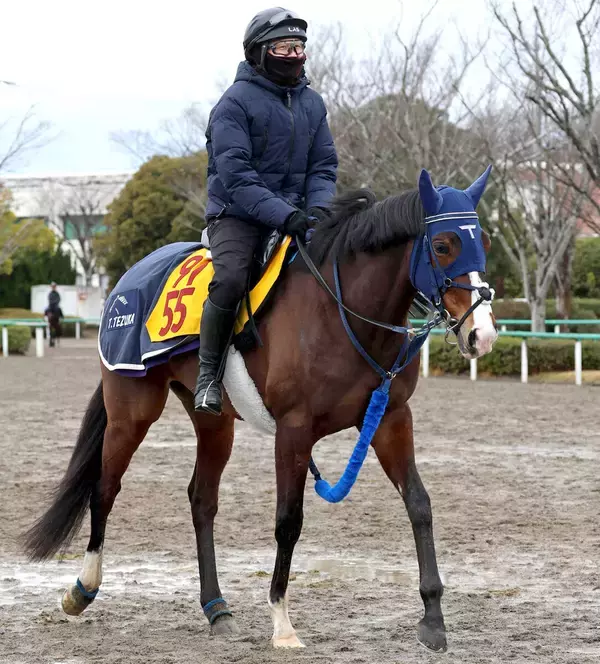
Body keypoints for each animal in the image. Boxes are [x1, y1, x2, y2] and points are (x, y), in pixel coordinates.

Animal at [23, 167, 498, 653]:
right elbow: (289, 521)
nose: (482, 335)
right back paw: (82, 589)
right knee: (105, 488)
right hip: (131, 413)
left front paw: (433, 617)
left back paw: (216, 608)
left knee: (201, 500)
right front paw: (282, 623)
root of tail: (125, 281)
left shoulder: (391, 418)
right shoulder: (294, 431)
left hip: (213, 423)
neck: (340, 312)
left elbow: (419, 504)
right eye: (442, 245)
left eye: (483, 242)